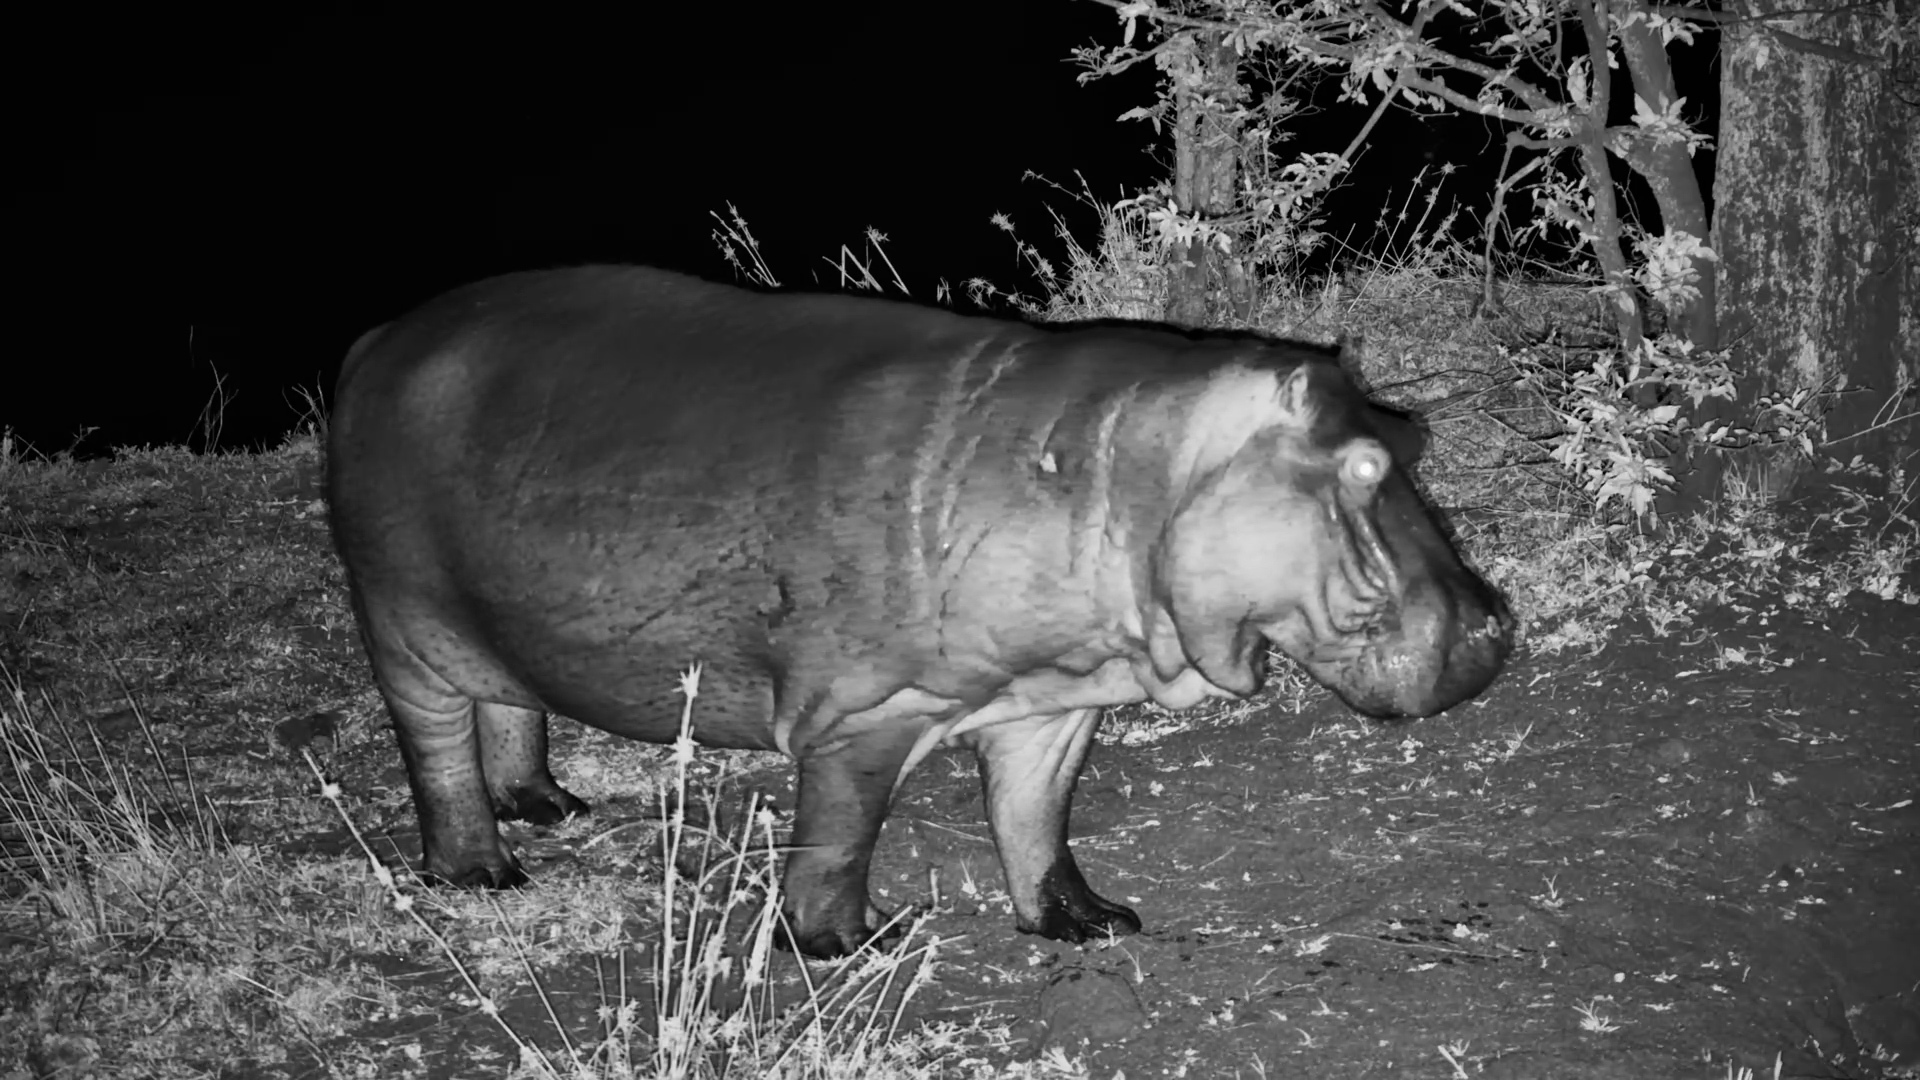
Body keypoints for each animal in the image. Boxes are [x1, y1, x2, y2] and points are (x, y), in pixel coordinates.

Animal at [326, 265, 1511, 958]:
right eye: (1365, 465)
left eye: (1411, 436)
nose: (1498, 622)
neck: (1141, 467)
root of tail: (375, 342)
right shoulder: (862, 716)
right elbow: (840, 838)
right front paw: (863, 944)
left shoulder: (1053, 701)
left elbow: (1036, 821)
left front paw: (1093, 925)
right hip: (403, 631)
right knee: (437, 750)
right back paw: (484, 872)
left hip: (492, 627)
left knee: (508, 708)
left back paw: (550, 807)